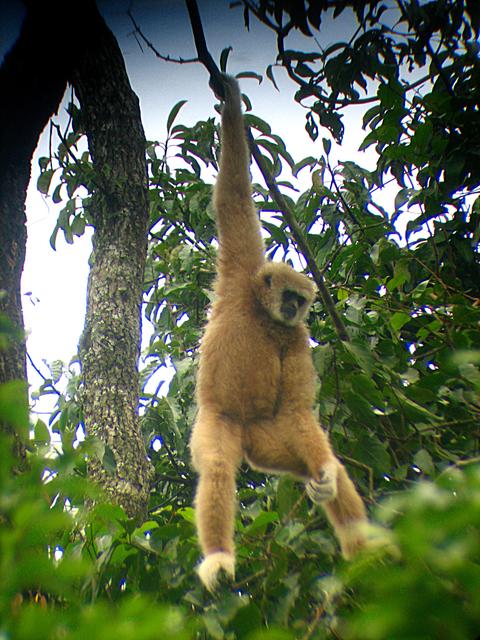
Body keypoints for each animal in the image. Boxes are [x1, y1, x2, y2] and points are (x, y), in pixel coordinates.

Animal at [189, 74, 368, 591]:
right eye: (288, 294)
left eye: (300, 301)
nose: (291, 306)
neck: (263, 315)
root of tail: (247, 431)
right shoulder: (240, 271)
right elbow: (232, 195)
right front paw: (229, 99)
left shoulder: (296, 337)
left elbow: (297, 408)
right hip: (220, 422)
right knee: (218, 467)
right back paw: (219, 556)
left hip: (270, 438)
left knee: (321, 461)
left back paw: (363, 544)